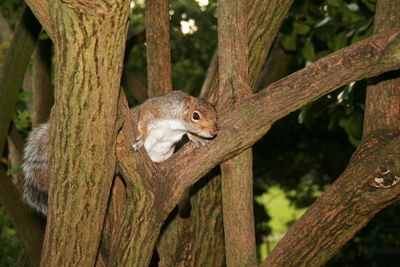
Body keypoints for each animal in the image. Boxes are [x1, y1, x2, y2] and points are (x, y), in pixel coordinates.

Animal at [21, 91, 219, 217]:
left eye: (216, 115)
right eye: (195, 116)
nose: (213, 133)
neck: (177, 123)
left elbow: (188, 134)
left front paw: (196, 139)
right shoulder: (155, 109)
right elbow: (144, 120)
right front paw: (141, 139)